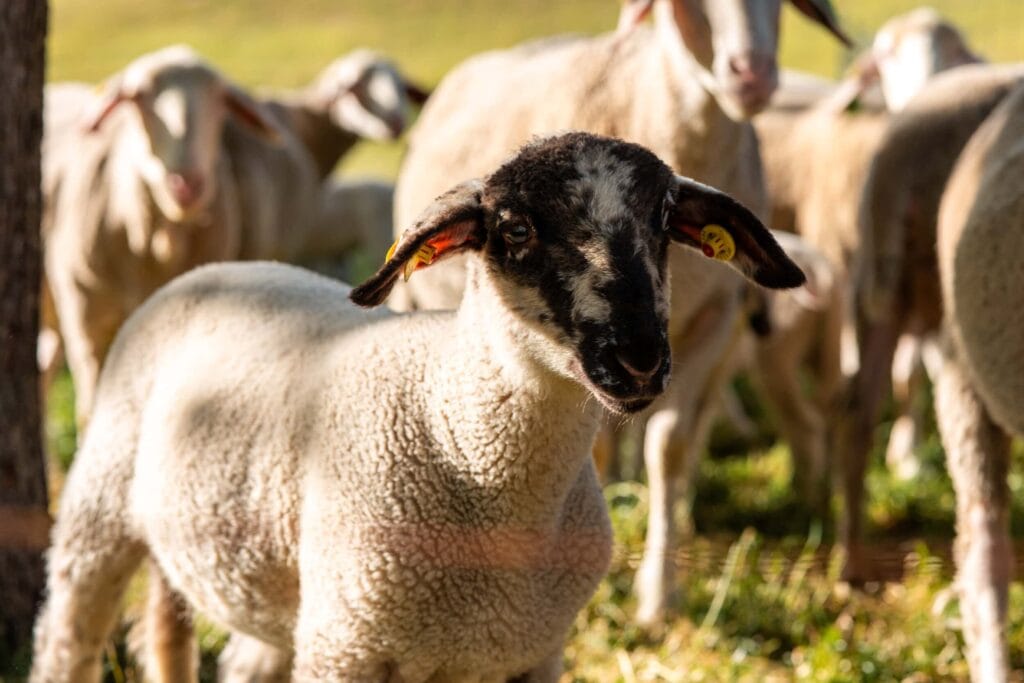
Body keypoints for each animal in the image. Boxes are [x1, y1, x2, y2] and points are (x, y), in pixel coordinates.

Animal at [29, 132, 805, 683]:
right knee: (65, 639)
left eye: (665, 219)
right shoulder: (347, 650)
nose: (640, 356)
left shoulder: (530, 654)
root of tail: (223, 270)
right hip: (100, 509)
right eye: (515, 229)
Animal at [390, 0, 849, 626]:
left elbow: (671, 446)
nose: (751, 77)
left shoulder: (714, 322)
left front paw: (660, 595)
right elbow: (600, 448)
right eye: (518, 228)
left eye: (666, 217)